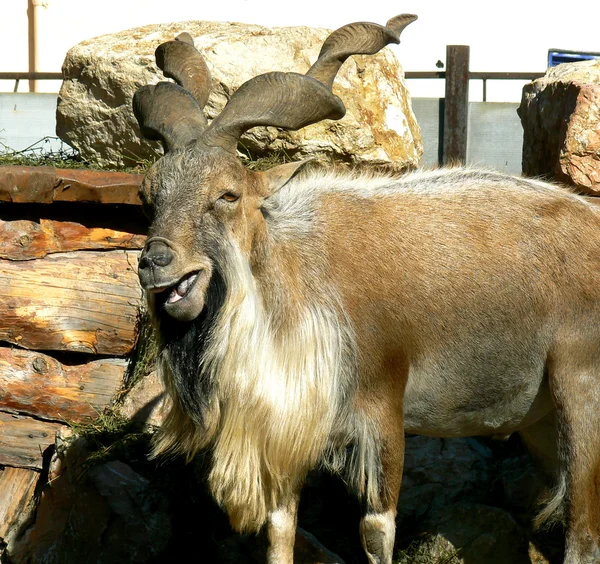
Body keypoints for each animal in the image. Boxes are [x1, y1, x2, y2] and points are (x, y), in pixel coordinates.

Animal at [130, 12, 600, 564]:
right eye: (148, 195)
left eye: (227, 194)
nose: (154, 263)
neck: (296, 275)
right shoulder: (289, 429)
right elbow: (280, 528)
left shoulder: (383, 408)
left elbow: (377, 530)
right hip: (540, 421)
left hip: (579, 387)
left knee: (584, 535)